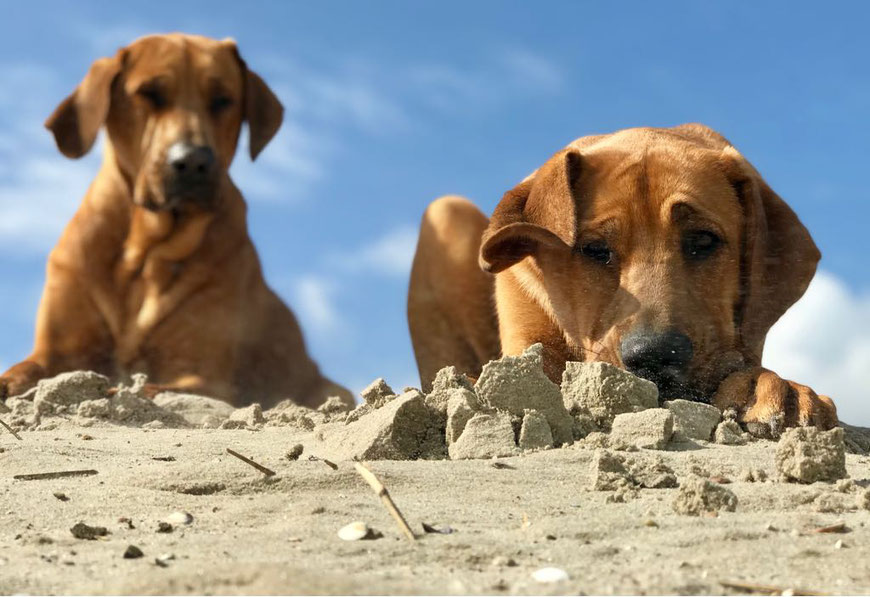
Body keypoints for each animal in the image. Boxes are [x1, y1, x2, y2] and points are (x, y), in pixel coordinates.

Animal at [1, 33, 354, 410]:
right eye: (149, 93)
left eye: (222, 100)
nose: (193, 161)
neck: (146, 248)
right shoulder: (54, 352)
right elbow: (21, 371)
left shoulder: (200, 374)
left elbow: (144, 388)